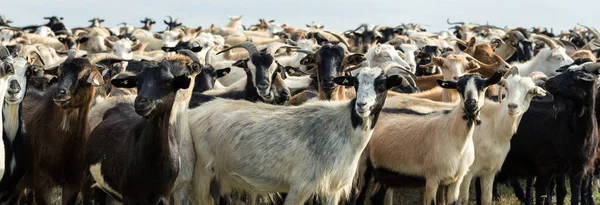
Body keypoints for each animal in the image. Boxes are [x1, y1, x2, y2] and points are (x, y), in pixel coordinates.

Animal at [190, 65, 406, 205]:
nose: (361, 105)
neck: (343, 127)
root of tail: (196, 112)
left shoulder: (332, 190)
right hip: (202, 174)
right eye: (355, 82)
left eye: (382, 84)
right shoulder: (300, 187)